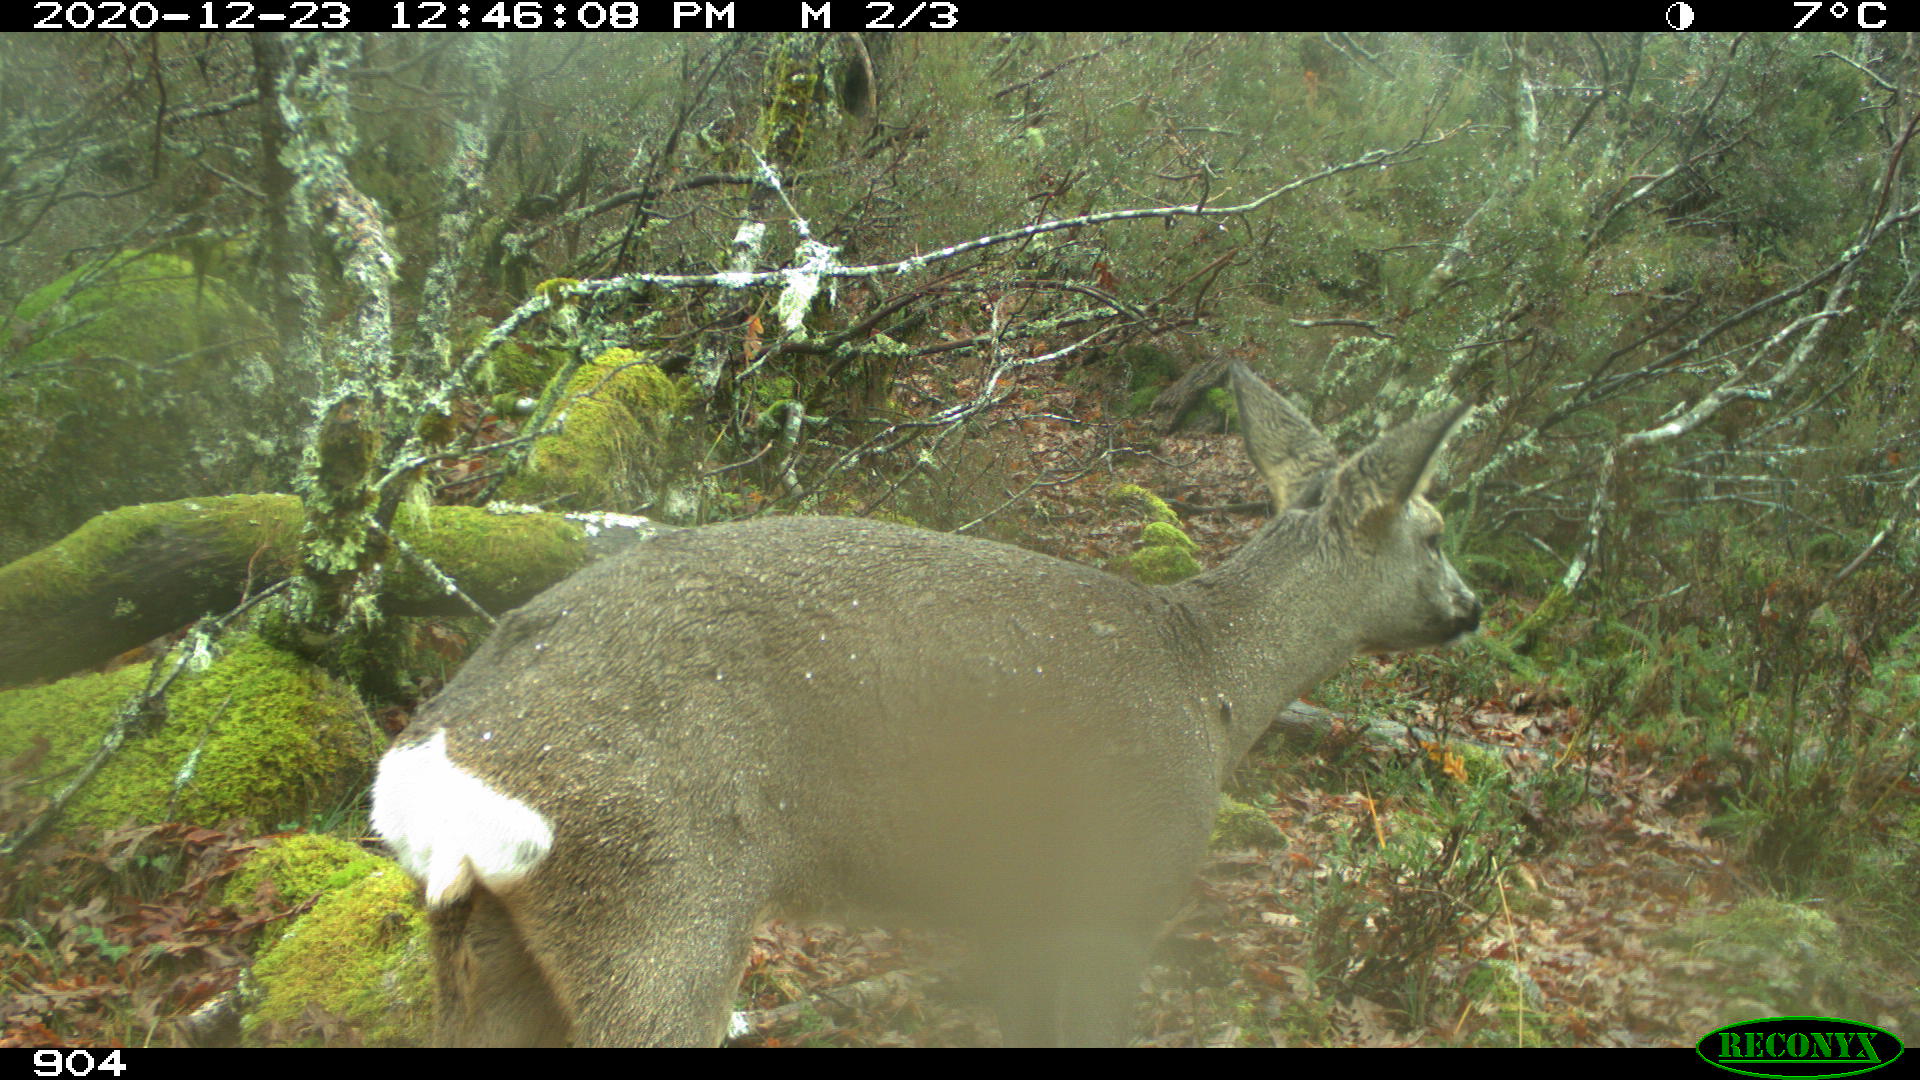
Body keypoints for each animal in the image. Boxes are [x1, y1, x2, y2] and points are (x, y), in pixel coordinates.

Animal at [370, 361, 1482, 1047]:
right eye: (1432, 531)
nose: (1470, 609)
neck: (1209, 678)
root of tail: (436, 755)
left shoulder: (1020, 912)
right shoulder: (1118, 890)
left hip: (489, 947)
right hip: (660, 905)